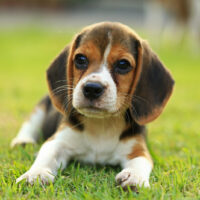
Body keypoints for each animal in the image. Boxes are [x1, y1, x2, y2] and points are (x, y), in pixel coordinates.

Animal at [11, 21, 173, 189]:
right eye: (80, 59)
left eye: (123, 64)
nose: (92, 88)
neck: (102, 123)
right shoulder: (59, 141)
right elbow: (47, 154)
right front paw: (36, 174)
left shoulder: (137, 148)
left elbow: (141, 162)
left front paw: (134, 177)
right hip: (41, 107)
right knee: (30, 124)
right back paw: (23, 141)